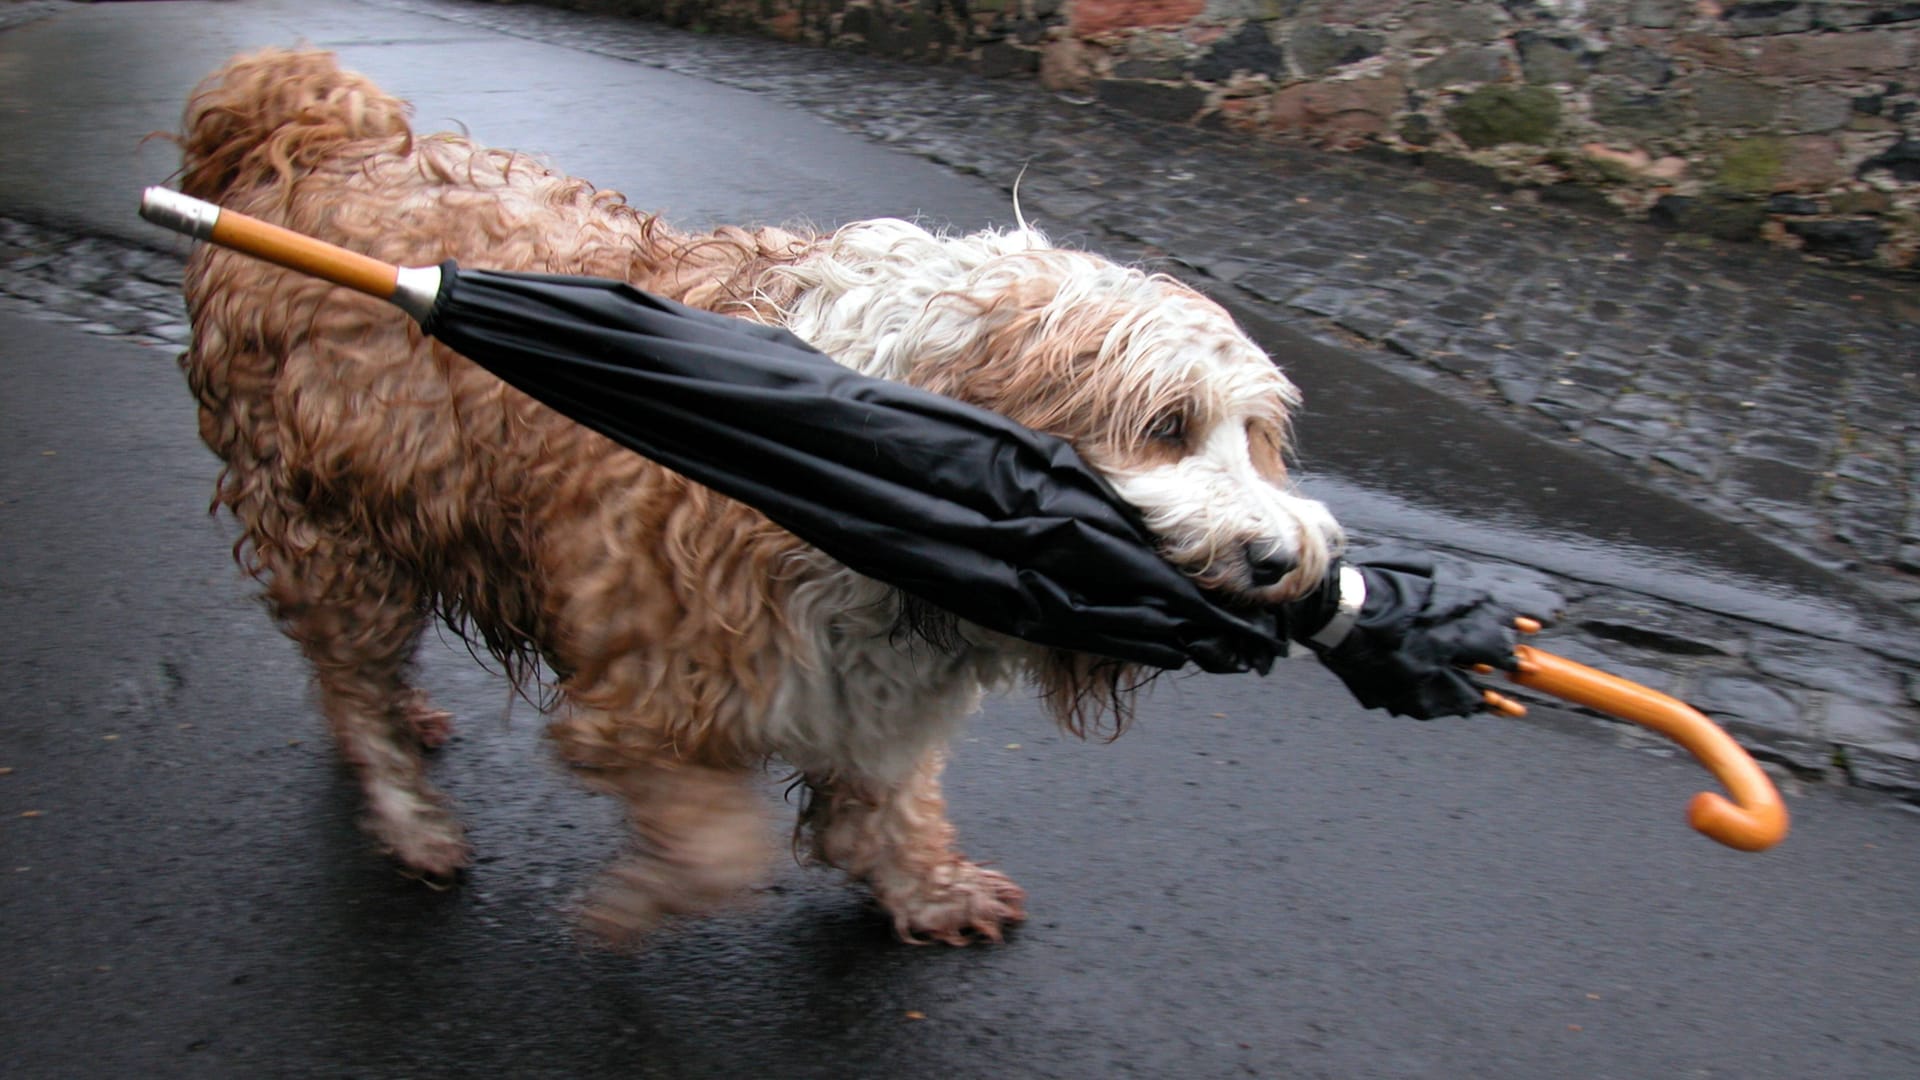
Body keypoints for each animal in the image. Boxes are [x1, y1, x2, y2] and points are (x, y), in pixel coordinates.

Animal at [176, 48, 1351, 941]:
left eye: (1260, 441)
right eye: (1166, 428)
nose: (1281, 562)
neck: (883, 445)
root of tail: (305, 140)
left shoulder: (873, 688)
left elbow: (883, 807)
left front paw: (928, 888)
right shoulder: (651, 688)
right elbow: (720, 846)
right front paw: (638, 902)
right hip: (333, 530)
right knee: (351, 680)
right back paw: (411, 815)